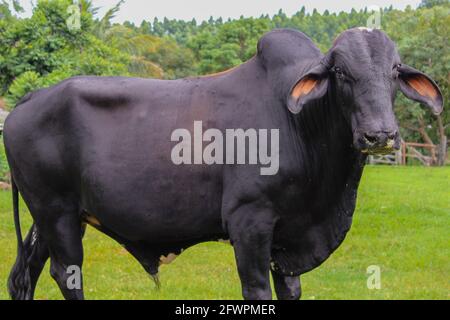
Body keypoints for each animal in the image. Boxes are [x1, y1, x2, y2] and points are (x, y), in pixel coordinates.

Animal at [1, 28, 442, 300]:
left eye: (394, 72)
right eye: (339, 72)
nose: (379, 134)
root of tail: (30, 98)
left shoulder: (289, 239)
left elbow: (291, 290)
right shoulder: (250, 221)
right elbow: (257, 291)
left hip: (53, 217)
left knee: (25, 274)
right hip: (55, 212)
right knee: (66, 272)